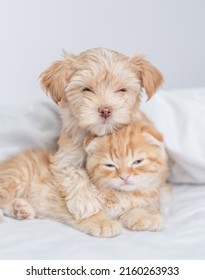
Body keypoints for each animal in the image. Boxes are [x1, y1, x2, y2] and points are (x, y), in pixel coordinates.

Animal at [0, 48, 163, 220]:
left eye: (122, 90)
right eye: (86, 89)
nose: (105, 110)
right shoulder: (65, 158)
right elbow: (74, 172)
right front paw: (85, 201)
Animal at [0, 122, 170, 236]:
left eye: (137, 162)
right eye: (110, 165)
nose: (124, 176)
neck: (122, 194)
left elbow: (134, 210)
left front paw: (146, 218)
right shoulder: (76, 197)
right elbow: (90, 210)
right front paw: (102, 223)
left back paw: (21, 209)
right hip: (17, 176)